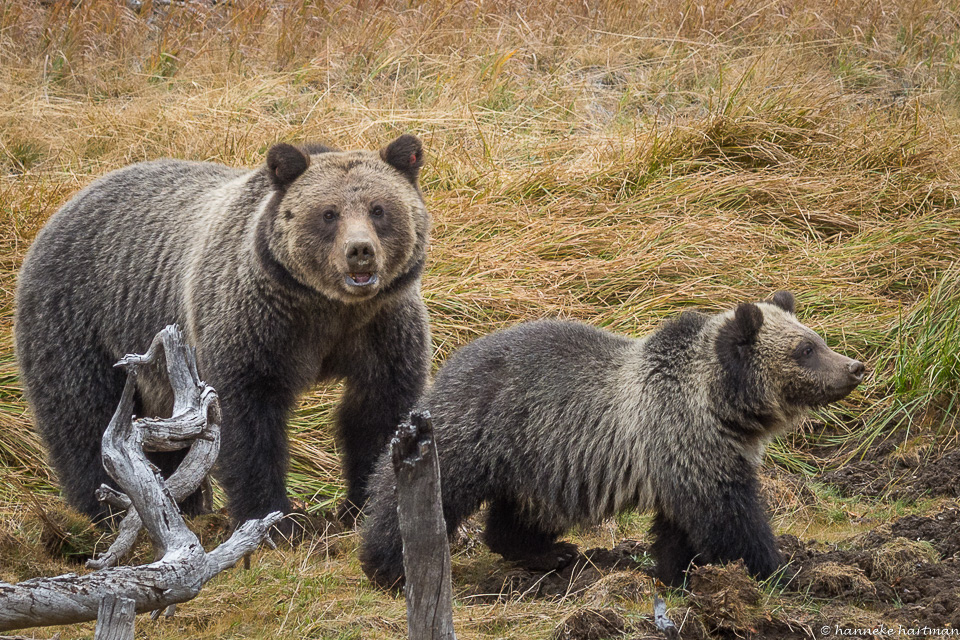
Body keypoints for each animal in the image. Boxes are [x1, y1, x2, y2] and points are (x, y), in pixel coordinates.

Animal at [15, 134, 431, 530]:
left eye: (379, 209)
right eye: (328, 214)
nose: (359, 251)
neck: (325, 309)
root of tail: (68, 204)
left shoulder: (380, 328)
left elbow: (377, 411)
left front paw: (362, 505)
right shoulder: (255, 325)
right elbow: (247, 419)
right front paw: (274, 519)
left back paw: (182, 504)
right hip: (80, 321)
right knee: (83, 415)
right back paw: (104, 509)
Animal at [359, 291, 865, 588]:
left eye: (816, 338)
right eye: (805, 349)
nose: (855, 366)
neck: (724, 410)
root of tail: (452, 358)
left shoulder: (684, 456)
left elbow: (679, 528)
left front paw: (676, 574)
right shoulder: (686, 443)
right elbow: (731, 519)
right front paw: (780, 571)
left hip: (538, 462)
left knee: (521, 514)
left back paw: (547, 552)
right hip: (474, 428)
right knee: (426, 492)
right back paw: (387, 565)